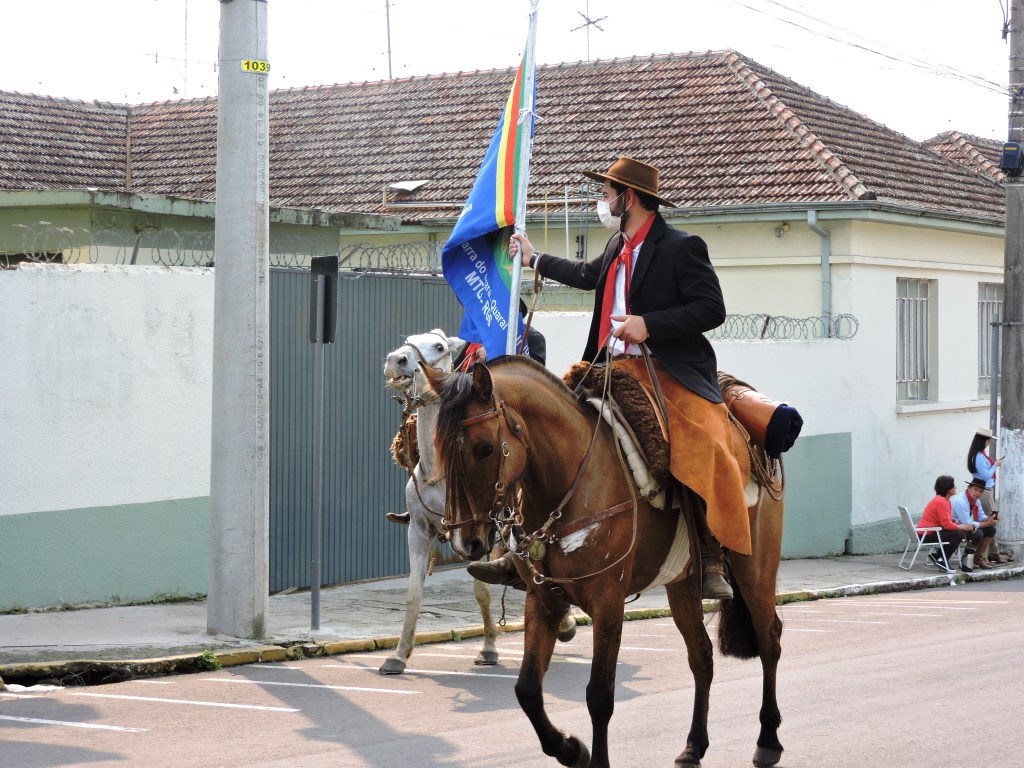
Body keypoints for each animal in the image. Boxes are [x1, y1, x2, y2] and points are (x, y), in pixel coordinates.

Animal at [380, 327, 499, 675]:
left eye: (438, 346)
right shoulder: (418, 531)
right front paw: (398, 655)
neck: (442, 471)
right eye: (407, 340)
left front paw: (489, 648)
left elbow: (482, 589)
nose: (396, 360)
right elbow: (413, 595)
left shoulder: (485, 537)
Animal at [423, 358, 782, 765]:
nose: (464, 540)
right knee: (701, 655)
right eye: (437, 448)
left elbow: (599, 695)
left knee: (769, 640)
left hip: (756, 572)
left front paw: (590, 756)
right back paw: (694, 746)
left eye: (485, 449)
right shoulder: (543, 601)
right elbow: (527, 690)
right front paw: (570, 749)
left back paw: (767, 741)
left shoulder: (608, 603)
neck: (570, 481)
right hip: (681, 586)